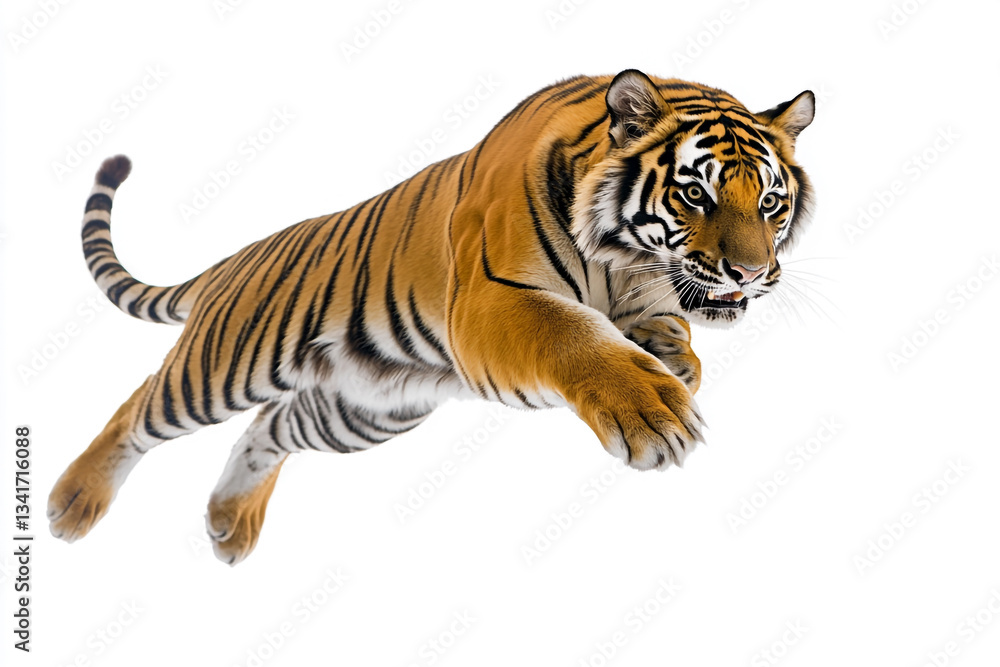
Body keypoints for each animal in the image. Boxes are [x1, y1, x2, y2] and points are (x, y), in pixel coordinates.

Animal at [48, 69, 814, 564]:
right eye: (695, 194)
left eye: (770, 202)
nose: (750, 274)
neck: (626, 266)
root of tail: (233, 260)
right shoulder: (490, 301)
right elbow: (572, 333)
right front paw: (653, 409)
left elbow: (673, 332)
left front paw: (675, 358)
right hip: (226, 364)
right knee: (139, 408)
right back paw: (73, 502)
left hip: (365, 410)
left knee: (268, 428)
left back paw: (229, 521)